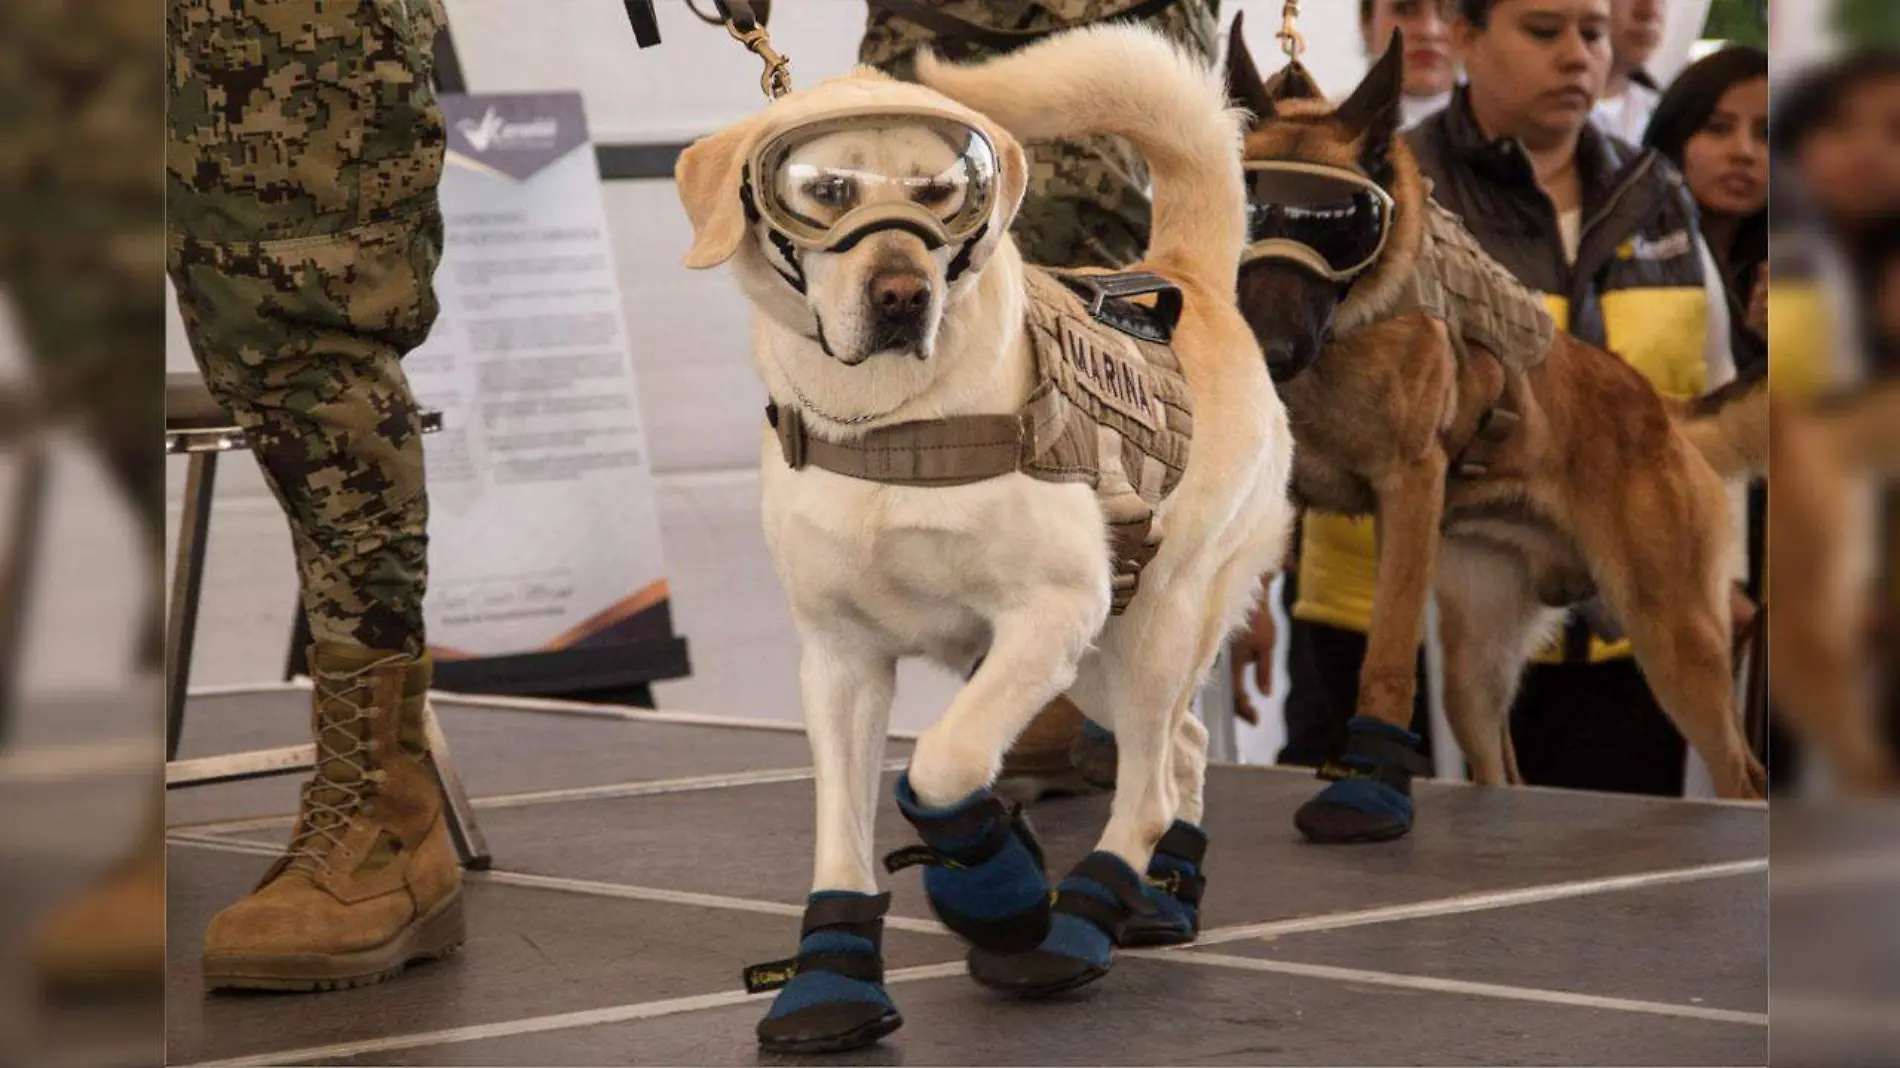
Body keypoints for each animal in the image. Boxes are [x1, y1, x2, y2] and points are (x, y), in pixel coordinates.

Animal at [672, 22, 1292, 1048]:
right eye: (826, 189)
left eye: (939, 193)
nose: (900, 295)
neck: (891, 422)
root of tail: (1189, 277)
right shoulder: (838, 660)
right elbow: (840, 833)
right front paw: (832, 979)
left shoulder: (1049, 613)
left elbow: (946, 758)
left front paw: (994, 884)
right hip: (1100, 661)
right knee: (1186, 745)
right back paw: (1162, 897)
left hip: (1150, 624)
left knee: (1150, 783)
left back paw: (1080, 922)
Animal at [1231, 16, 1763, 832]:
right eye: (1249, 212)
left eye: (1340, 225)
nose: (1269, 352)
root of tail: (1665, 412)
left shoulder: (1408, 492)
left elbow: (1386, 656)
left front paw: (1365, 785)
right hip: (1476, 669)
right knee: (1503, 770)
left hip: (1678, 642)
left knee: (1743, 775)